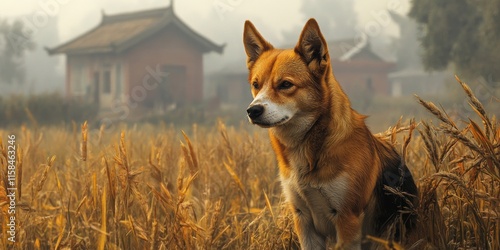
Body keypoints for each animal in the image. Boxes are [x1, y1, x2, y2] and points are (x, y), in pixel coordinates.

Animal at [242, 18, 418, 249]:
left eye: (286, 84)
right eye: (256, 85)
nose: (252, 110)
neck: (308, 149)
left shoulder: (347, 219)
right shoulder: (303, 219)